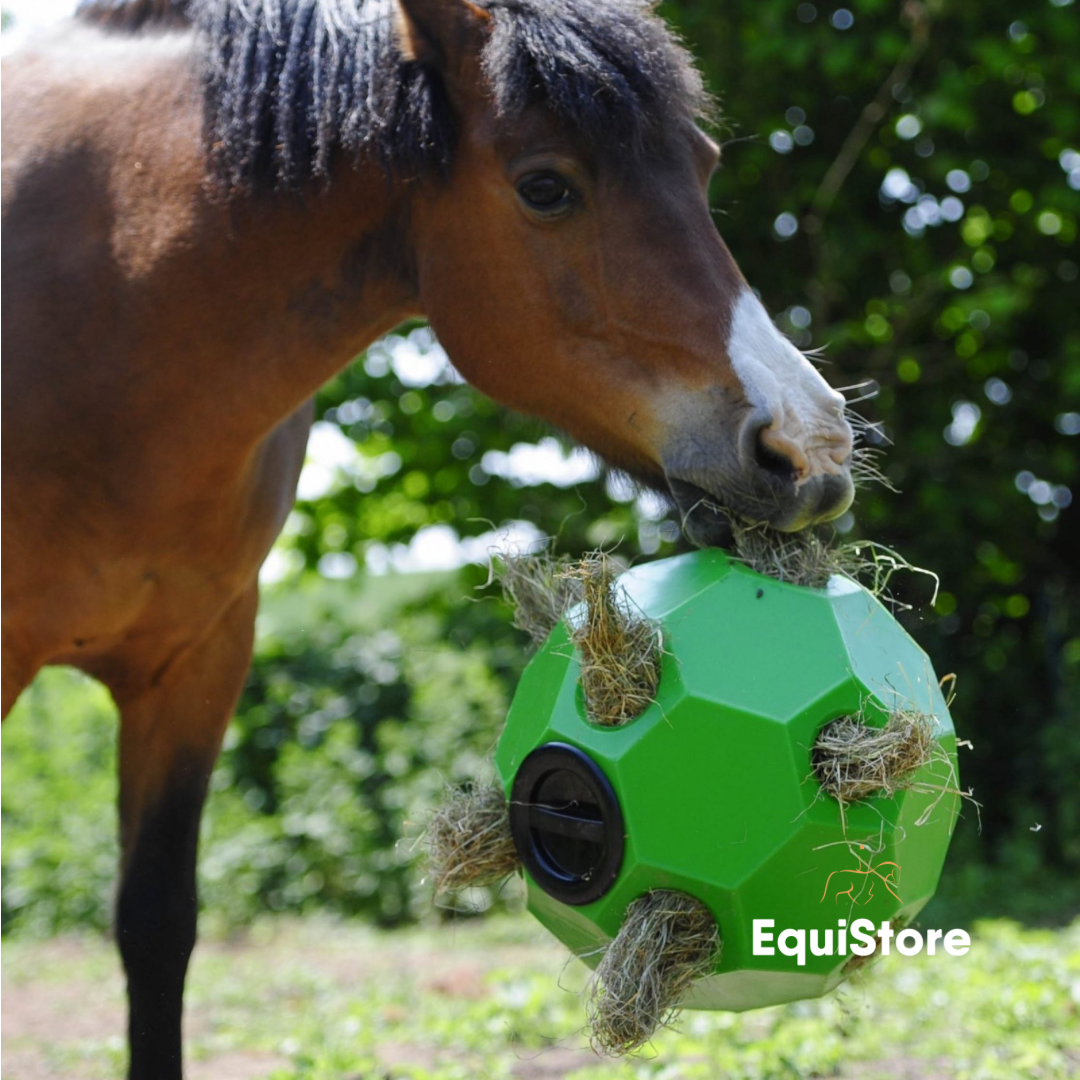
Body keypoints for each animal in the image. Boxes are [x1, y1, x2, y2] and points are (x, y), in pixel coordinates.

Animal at [1, 0, 855, 1075]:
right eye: (545, 187)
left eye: (700, 167)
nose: (810, 448)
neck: (110, 294)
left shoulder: (196, 665)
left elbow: (157, 928)